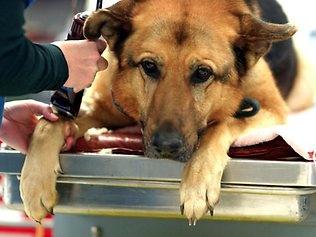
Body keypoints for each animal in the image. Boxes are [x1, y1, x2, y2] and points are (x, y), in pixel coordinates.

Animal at [19, 0, 314, 223]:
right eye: (149, 66)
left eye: (203, 73)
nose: (167, 146)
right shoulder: (94, 105)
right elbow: (47, 123)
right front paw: (34, 183)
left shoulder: (271, 110)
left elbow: (221, 124)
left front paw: (197, 184)